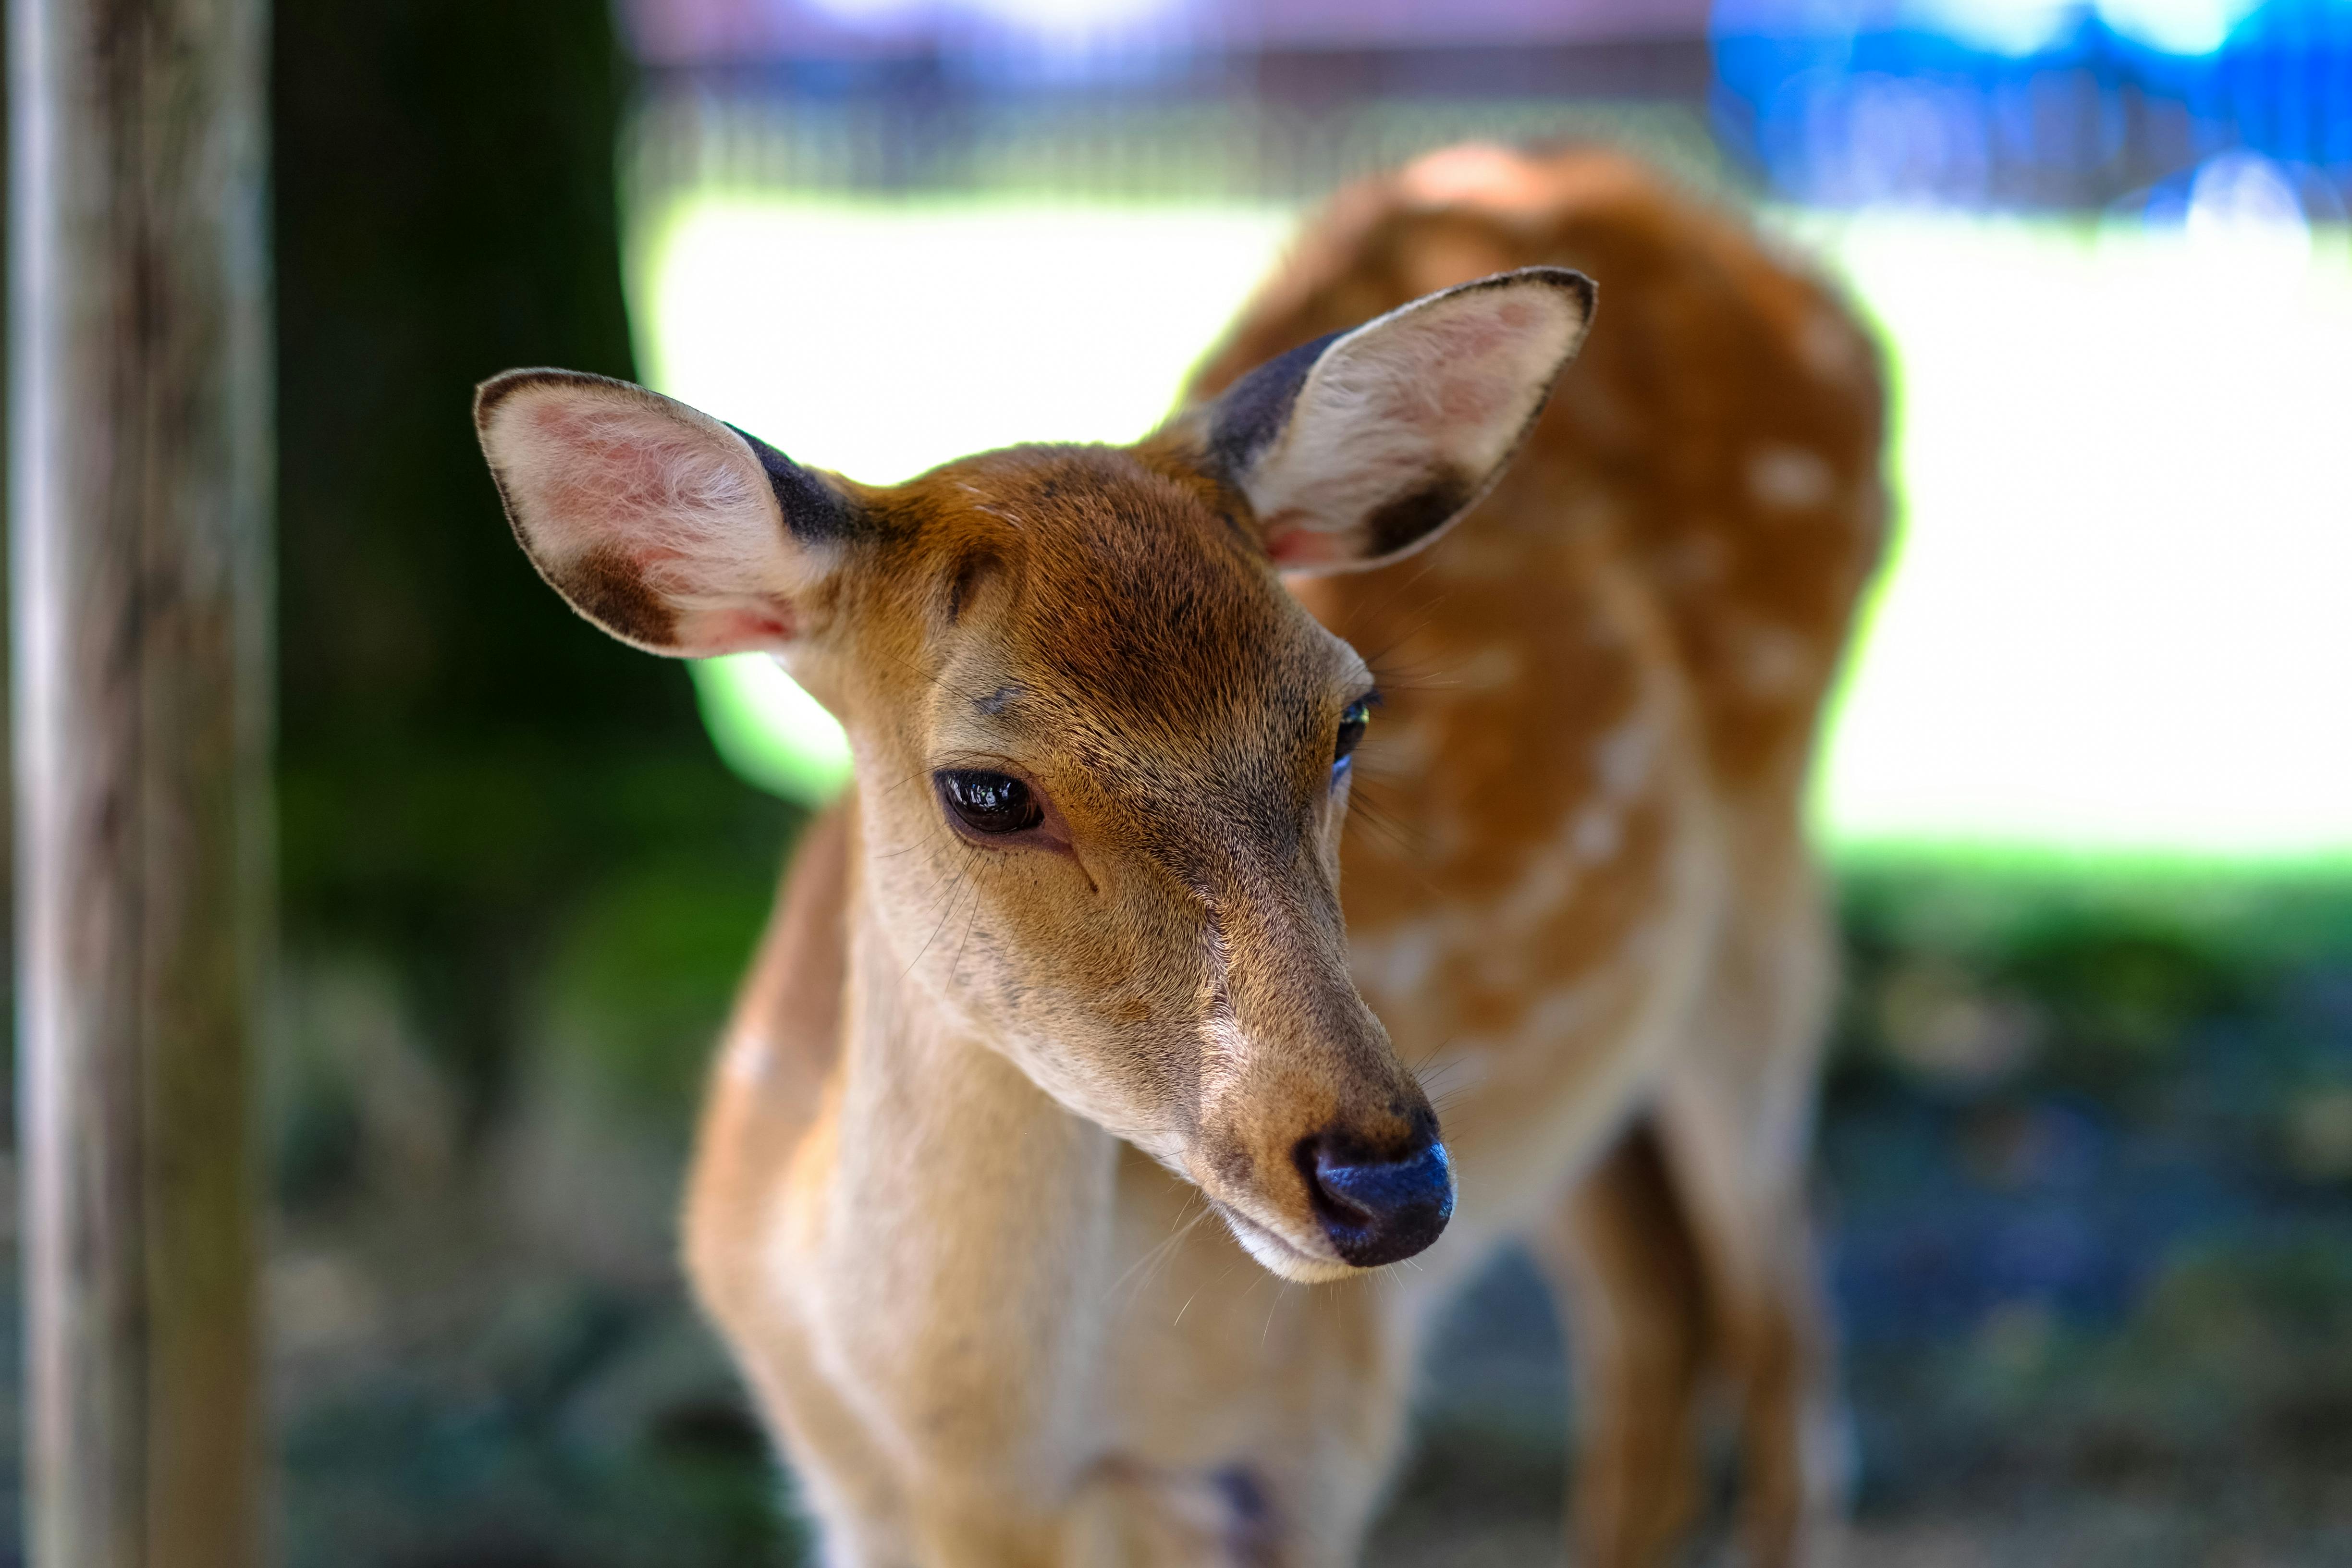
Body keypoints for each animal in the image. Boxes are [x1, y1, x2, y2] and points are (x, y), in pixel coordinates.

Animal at [473, 147, 1872, 1568]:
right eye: (986, 790)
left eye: (1349, 714)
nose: (1388, 1184)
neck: (976, 1472)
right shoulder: (841, 1493)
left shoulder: (1307, 1437)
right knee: (1659, 1310)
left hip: (1768, 877)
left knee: (1786, 1333)